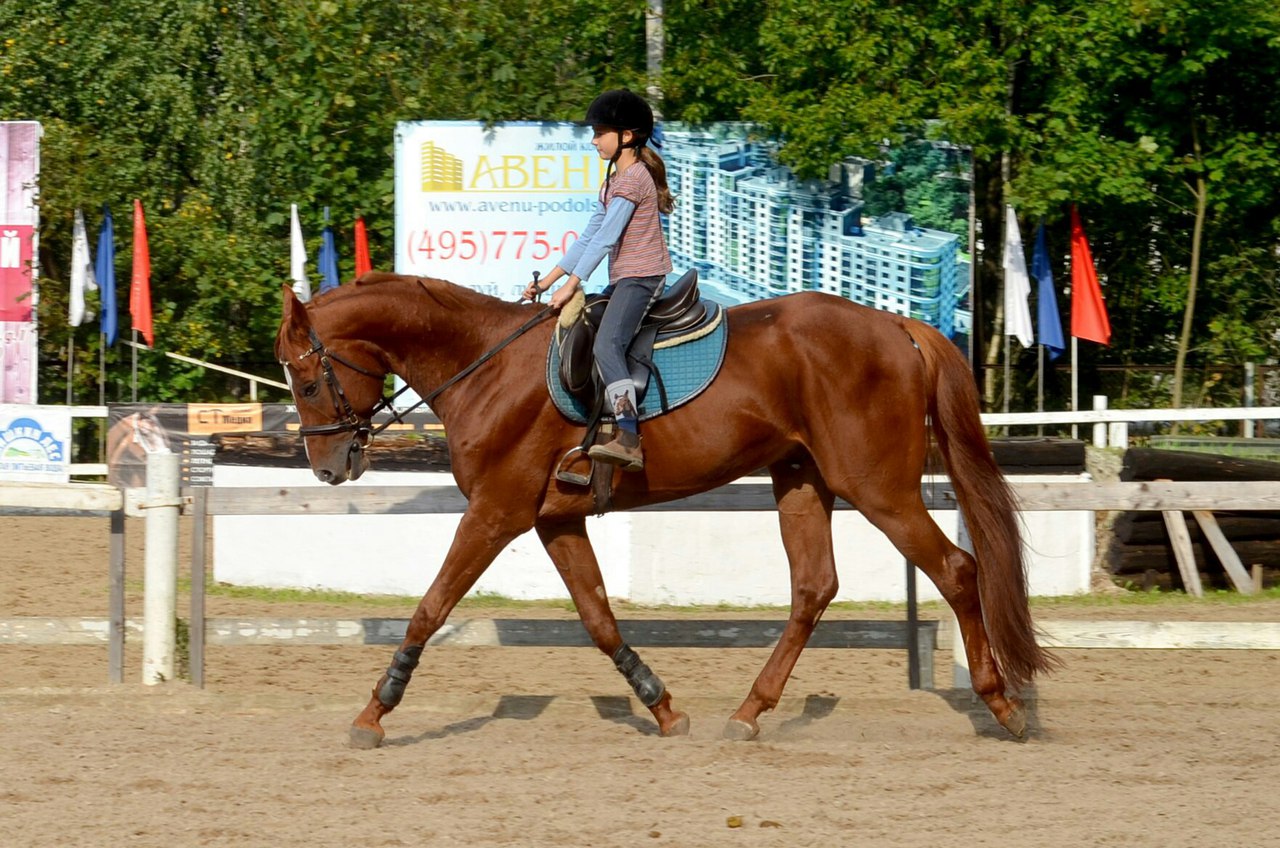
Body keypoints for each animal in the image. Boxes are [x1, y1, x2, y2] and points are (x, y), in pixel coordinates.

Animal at [275, 272, 1054, 753]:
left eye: (308, 379)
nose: (329, 467)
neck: (486, 367)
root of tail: (897, 325)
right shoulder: (555, 519)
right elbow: (598, 619)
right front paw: (662, 706)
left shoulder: (495, 513)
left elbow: (429, 609)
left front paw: (374, 712)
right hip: (802, 480)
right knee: (814, 588)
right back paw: (748, 713)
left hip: (878, 488)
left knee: (957, 570)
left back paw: (1004, 707)